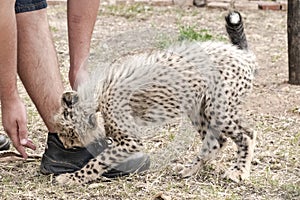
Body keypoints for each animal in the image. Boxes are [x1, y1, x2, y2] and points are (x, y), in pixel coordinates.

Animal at [55, 11, 256, 185]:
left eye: (67, 133)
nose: (66, 144)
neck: (99, 92)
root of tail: (240, 53)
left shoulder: (131, 141)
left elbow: (99, 160)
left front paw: (73, 178)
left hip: (216, 109)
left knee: (246, 136)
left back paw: (239, 171)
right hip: (200, 109)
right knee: (221, 140)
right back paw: (190, 169)